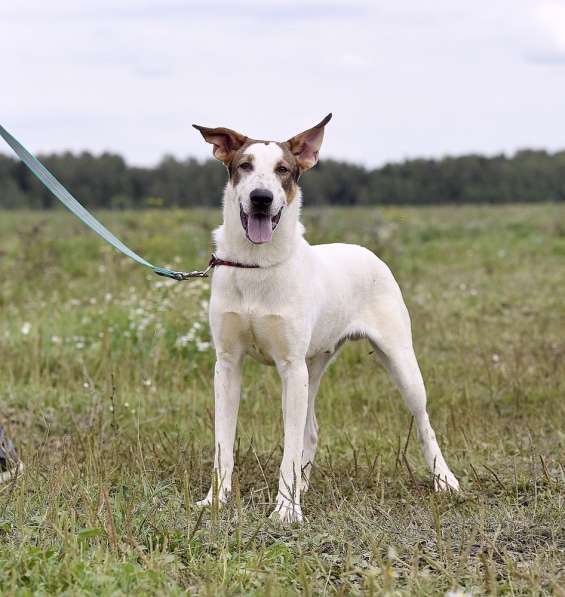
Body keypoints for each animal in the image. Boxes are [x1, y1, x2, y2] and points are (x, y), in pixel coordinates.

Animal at [193, 113, 458, 520]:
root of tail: (366, 250)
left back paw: (445, 480)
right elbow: (224, 442)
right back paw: (303, 484)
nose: (261, 198)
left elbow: (287, 449)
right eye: (245, 166)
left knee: (423, 421)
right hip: (313, 365)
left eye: (283, 170)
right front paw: (215, 501)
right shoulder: (228, 363)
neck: (257, 265)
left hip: (397, 360)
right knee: (312, 429)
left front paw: (286, 510)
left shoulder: (290, 366)